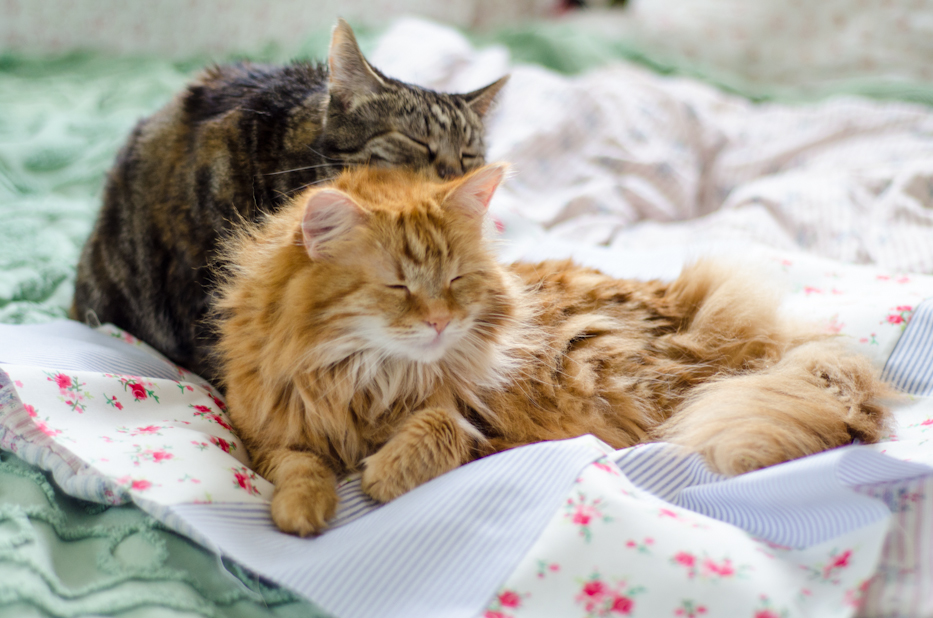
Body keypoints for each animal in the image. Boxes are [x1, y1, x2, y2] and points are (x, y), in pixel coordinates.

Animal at [211, 162, 888, 536]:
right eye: (397, 286)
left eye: (457, 279)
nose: (440, 321)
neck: (369, 378)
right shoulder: (265, 430)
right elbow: (299, 467)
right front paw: (302, 511)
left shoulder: (481, 425)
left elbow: (437, 428)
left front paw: (385, 474)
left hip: (610, 376)